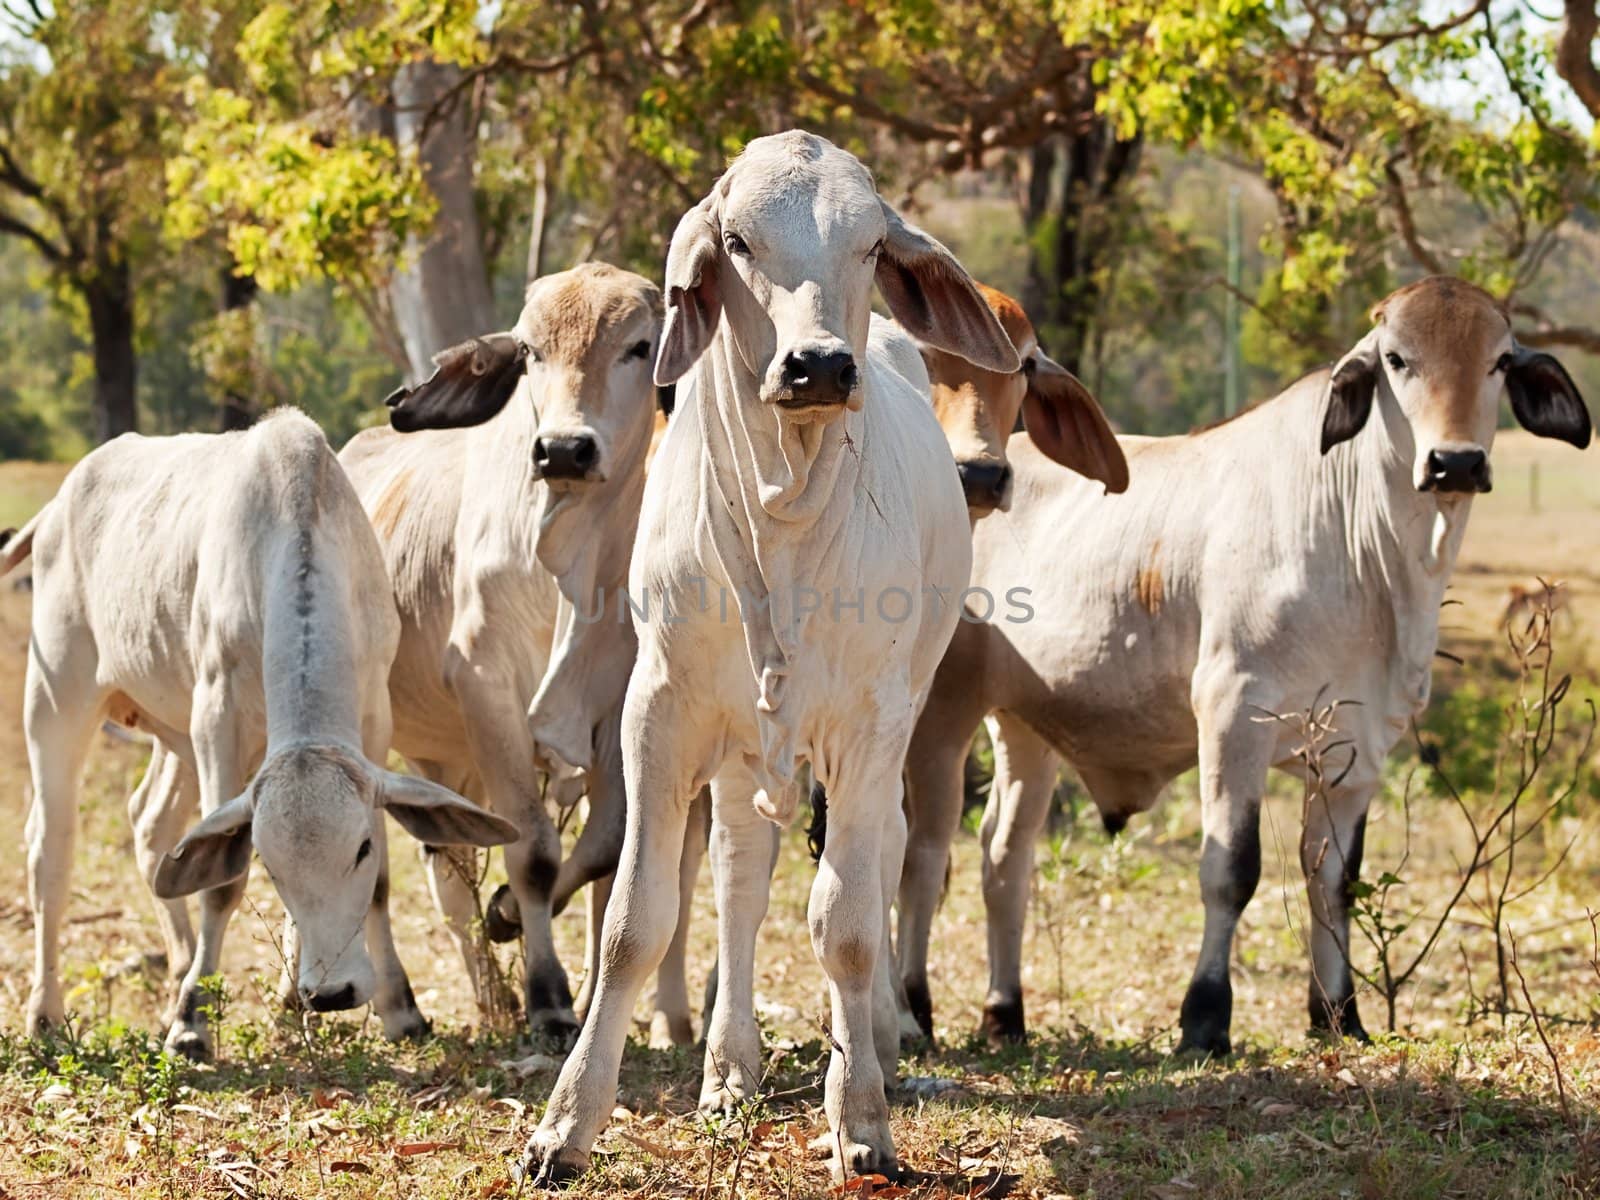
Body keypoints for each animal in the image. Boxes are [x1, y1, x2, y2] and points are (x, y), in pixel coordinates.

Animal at [1, 412, 512, 1062]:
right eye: (268, 861)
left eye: (360, 849)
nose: (332, 993)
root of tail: (58, 503)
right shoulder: (215, 721)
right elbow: (222, 883)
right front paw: (192, 1023)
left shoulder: (373, 723)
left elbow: (379, 886)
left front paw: (398, 1008)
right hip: (57, 694)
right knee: (50, 849)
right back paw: (46, 1012)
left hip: (170, 730)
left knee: (151, 825)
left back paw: (178, 971)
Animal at [337, 265, 662, 1043]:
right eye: (529, 351)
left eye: (639, 346)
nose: (564, 450)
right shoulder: (489, 689)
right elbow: (534, 850)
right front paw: (548, 997)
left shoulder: (614, 704)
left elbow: (602, 844)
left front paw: (509, 918)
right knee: (378, 867)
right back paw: (397, 1003)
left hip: (446, 757)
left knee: (448, 870)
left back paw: (489, 993)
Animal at [524, 129, 1017, 1184]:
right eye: (740, 242)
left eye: (871, 246)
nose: (819, 365)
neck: (782, 516)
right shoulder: (658, 713)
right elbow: (635, 924)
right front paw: (564, 1128)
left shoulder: (871, 730)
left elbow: (847, 926)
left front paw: (861, 1118)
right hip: (741, 746)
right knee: (739, 886)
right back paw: (728, 1074)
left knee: (870, 874)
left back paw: (870, 1047)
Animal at [902, 276, 1587, 1056]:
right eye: (1396, 358)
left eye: (1499, 361)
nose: (1456, 462)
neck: (1368, 558)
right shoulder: (1234, 718)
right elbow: (1231, 870)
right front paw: (1204, 1018)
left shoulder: (1358, 752)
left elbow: (1334, 882)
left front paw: (1338, 1015)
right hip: (941, 716)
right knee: (925, 856)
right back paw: (914, 1009)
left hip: (1027, 731)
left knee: (1003, 857)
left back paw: (1004, 1012)